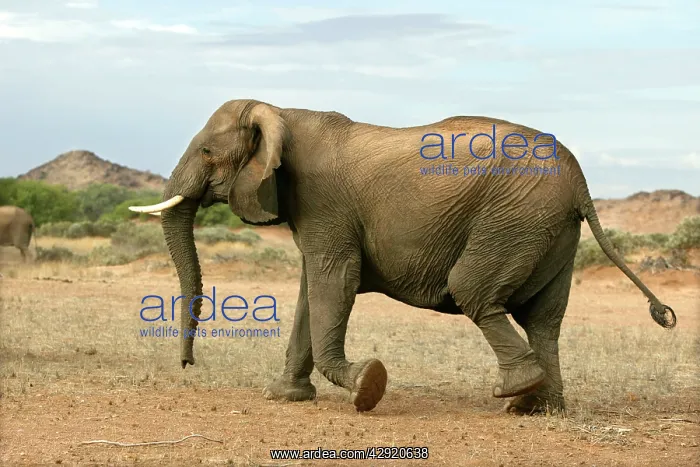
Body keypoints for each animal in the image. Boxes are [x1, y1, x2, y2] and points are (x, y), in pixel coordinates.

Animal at [129, 99, 676, 415]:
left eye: (206, 153)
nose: (188, 365)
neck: (282, 110)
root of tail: (581, 180)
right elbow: (311, 288)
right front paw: (284, 397)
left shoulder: (324, 202)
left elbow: (333, 281)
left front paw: (366, 386)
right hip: (551, 230)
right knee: (544, 318)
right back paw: (538, 408)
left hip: (515, 218)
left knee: (474, 290)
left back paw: (515, 391)